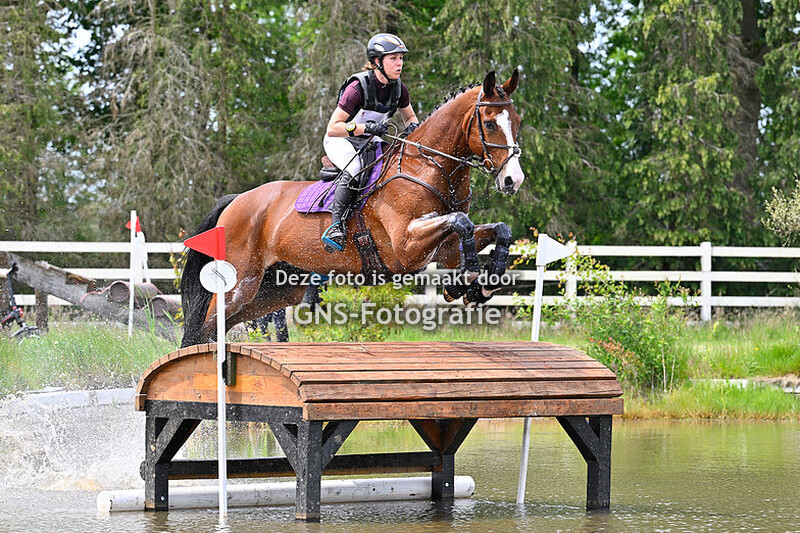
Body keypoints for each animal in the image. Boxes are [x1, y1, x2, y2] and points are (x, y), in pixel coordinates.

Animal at [180, 70, 524, 347]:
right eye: (489, 123)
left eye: (517, 122)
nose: (513, 180)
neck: (427, 166)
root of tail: (236, 201)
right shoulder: (406, 247)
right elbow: (462, 221)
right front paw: (468, 280)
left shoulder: (444, 249)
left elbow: (498, 229)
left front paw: (478, 287)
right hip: (240, 283)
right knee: (204, 327)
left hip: (276, 289)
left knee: (221, 327)